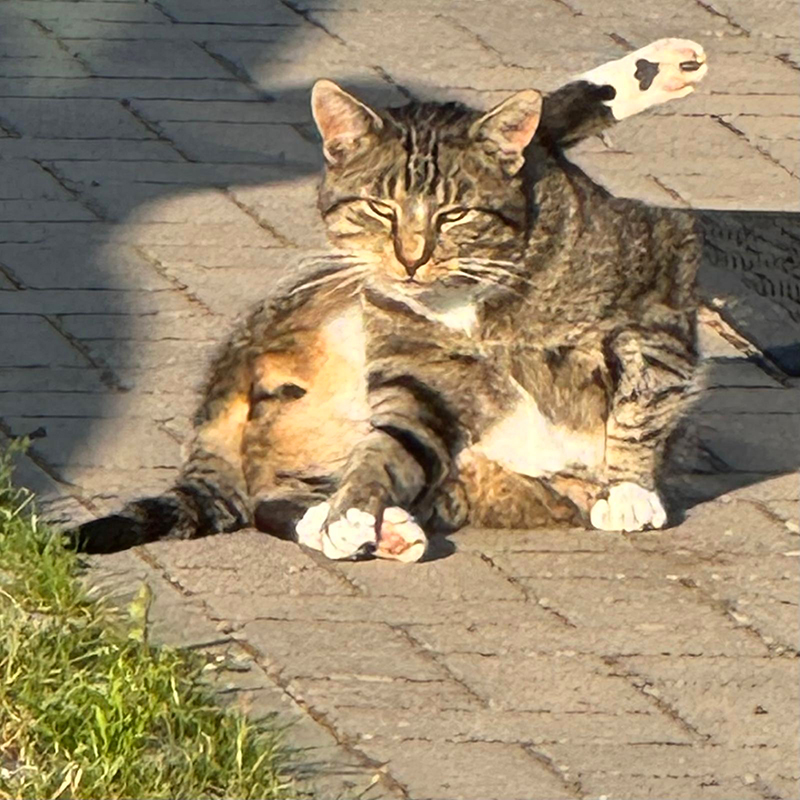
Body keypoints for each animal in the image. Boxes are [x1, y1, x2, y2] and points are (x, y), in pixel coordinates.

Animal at [69, 39, 707, 562]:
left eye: (455, 214)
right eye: (380, 208)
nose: (411, 259)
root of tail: (221, 383)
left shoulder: (657, 301)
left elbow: (642, 398)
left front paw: (628, 489)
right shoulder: (414, 379)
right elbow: (384, 450)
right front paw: (354, 511)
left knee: (270, 495)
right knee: (266, 495)